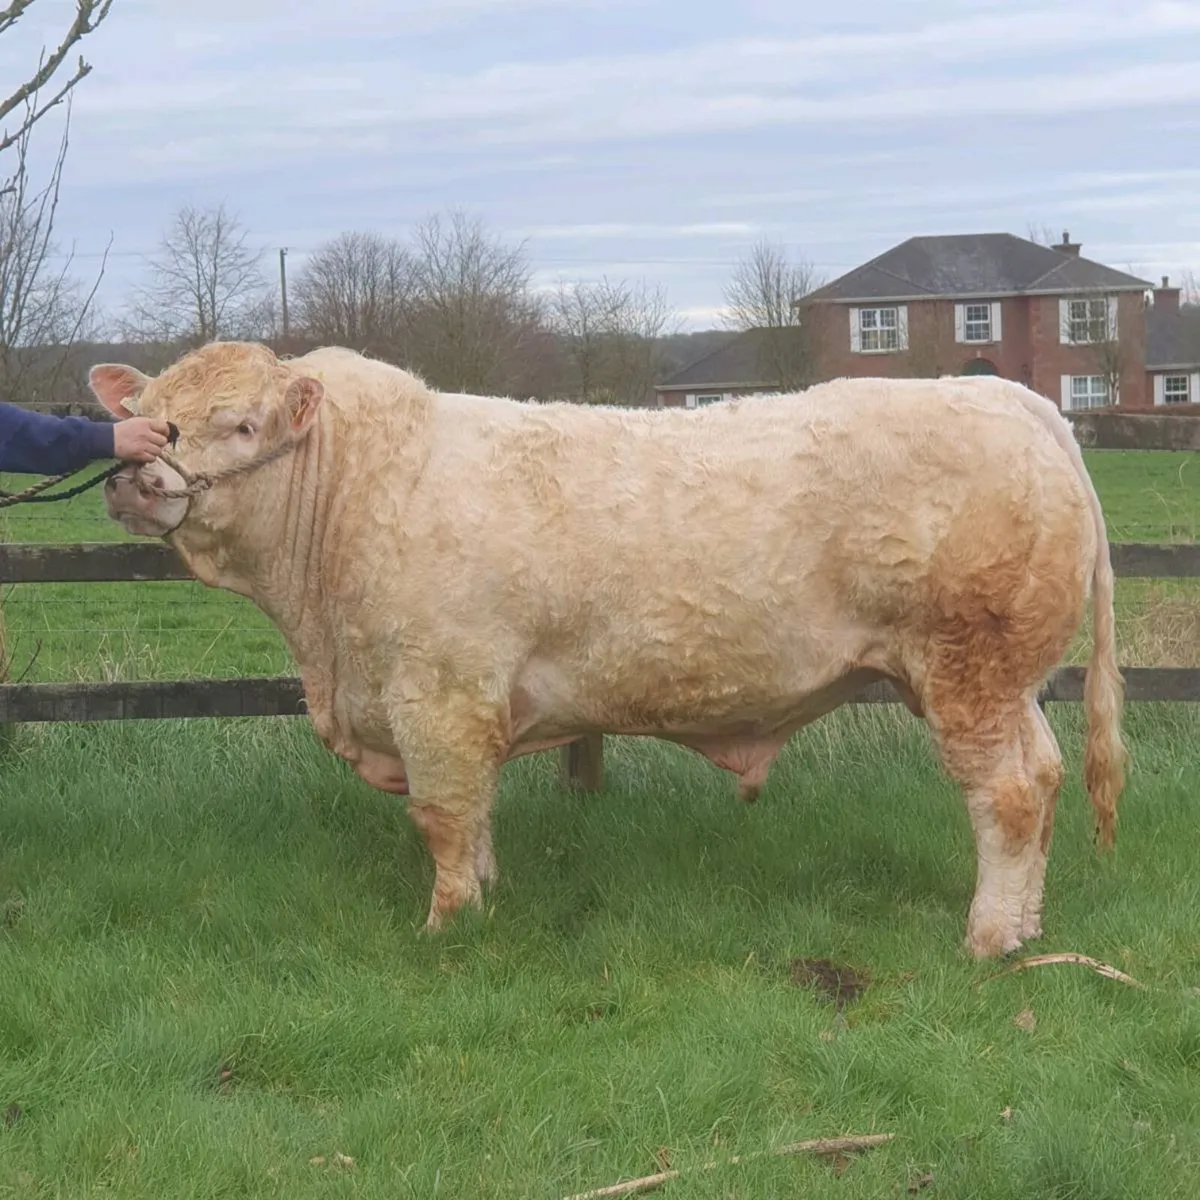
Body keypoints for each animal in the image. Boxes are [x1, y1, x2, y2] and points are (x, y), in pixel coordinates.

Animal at [90, 342, 1126, 958]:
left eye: (241, 425)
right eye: (146, 411)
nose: (138, 476)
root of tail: (1010, 397)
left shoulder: (438, 695)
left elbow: (442, 815)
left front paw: (446, 927)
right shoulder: (463, 707)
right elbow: (476, 816)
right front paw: (486, 896)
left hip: (967, 670)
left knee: (1005, 794)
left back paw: (987, 939)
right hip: (1006, 680)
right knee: (1043, 777)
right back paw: (1027, 927)